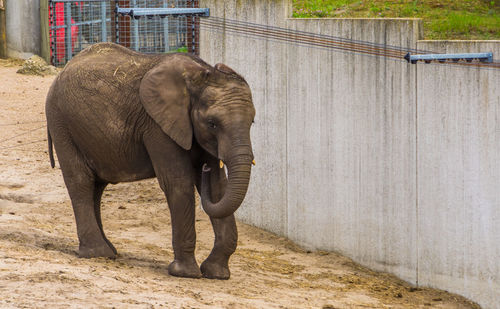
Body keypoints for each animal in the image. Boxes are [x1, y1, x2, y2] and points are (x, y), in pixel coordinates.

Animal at [45, 41, 256, 280]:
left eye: (252, 121)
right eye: (212, 123)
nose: (203, 169)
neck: (199, 76)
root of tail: (62, 70)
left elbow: (218, 187)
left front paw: (216, 274)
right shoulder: (157, 125)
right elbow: (178, 182)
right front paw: (185, 273)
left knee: (96, 186)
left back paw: (109, 251)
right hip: (61, 122)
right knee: (81, 181)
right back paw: (97, 253)